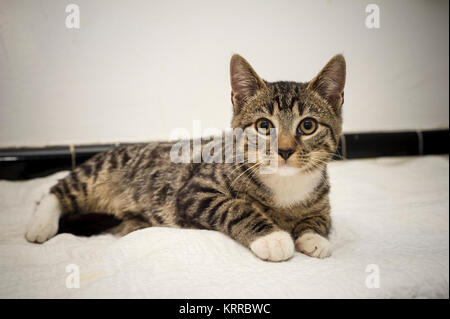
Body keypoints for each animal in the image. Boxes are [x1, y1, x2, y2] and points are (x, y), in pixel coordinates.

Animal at [26, 53, 346, 262]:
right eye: (264, 126)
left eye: (308, 125)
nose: (285, 150)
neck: (284, 188)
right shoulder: (194, 192)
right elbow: (236, 207)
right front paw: (272, 237)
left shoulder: (322, 199)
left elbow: (322, 217)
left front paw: (314, 236)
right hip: (100, 172)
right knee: (56, 190)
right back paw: (40, 226)